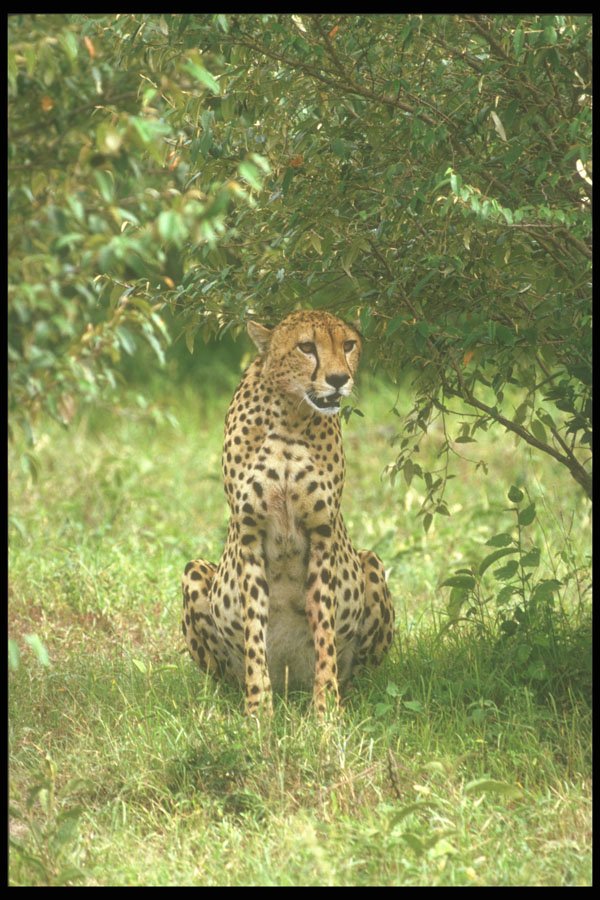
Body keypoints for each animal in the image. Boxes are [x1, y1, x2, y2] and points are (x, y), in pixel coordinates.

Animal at [181, 309, 395, 716]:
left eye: (349, 345)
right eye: (306, 347)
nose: (339, 379)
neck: (291, 415)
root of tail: (290, 684)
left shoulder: (322, 533)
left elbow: (323, 626)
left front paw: (326, 711)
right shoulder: (249, 534)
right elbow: (254, 629)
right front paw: (258, 712)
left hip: (370, 563)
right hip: (195, 571)